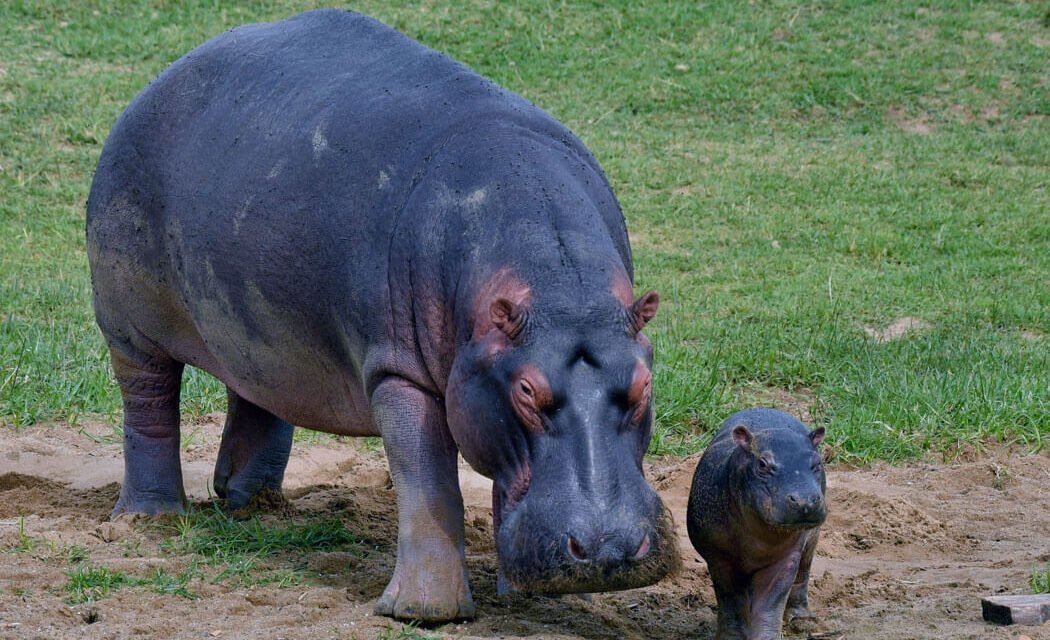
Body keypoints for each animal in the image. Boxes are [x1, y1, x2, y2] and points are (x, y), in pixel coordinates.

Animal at [86, 8, 678, 623]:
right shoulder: (401, 373)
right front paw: (424, 610)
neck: (557, 281)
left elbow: (499, 478)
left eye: (644, 384)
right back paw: (150, 521)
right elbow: (428, 481)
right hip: (128, 326)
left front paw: (520, 591)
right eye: (526, 392)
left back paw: (255, 505)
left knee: (257, 394)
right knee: (149, 405)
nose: (608, 549)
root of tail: (165, 76)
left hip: (253, 322)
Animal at [686, 409, 827, 640]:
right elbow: (731, 599)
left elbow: (769, 604)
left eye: (817, 463)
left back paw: (803, 621)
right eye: (762, 464)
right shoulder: (719, 557)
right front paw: (731, 637)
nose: (805, 500)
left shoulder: (785, 557)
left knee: (804, 572)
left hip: (812, 538)